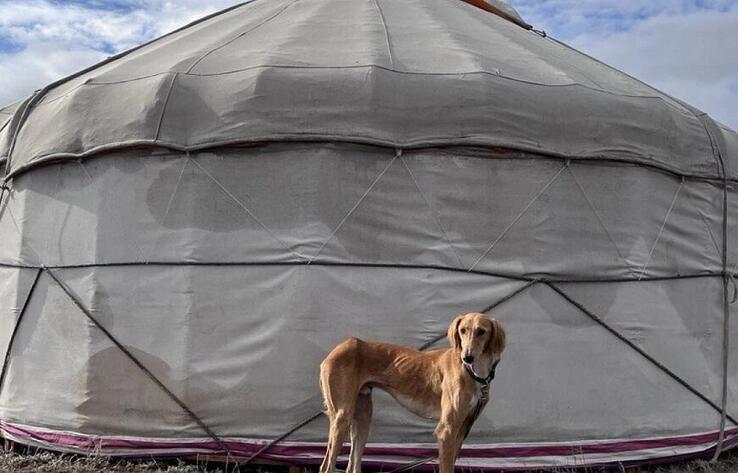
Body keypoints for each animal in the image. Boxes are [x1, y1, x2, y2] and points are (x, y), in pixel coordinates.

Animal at [318, 312, 506, 472]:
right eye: (463, 330)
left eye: (481, 331)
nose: (467, 357)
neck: (473, 372)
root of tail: (337, 348)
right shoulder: (446, 431)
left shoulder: (462, 430)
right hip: (342, 416)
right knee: (326, 467)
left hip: (362, 417)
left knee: (352, 466)